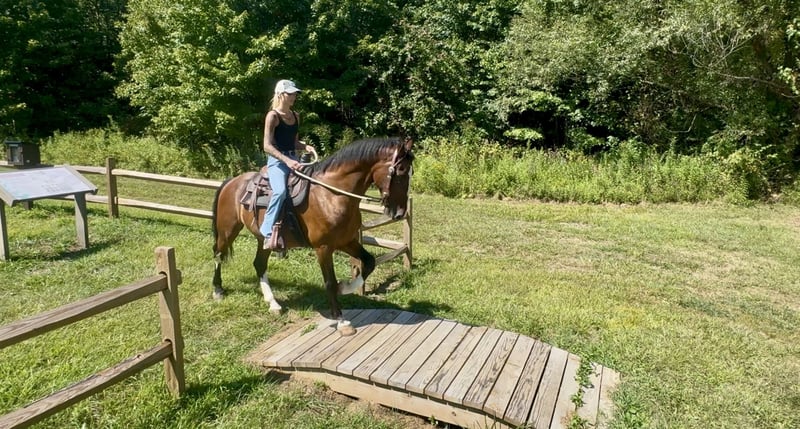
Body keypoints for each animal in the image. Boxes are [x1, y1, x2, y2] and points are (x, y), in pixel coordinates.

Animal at [210, 137, 414, 335]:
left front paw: (345, 287)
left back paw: (273, 303)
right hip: (227, 230)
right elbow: (330, 282)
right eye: (401, 171)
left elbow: (369, 262)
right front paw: (341, 320)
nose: (399, 213)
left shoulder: (347, 241)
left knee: (259, 264)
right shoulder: (323, 248)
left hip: (264, 240)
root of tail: (232, 182)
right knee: (218, 255)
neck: (332, 195)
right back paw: (218, 290)